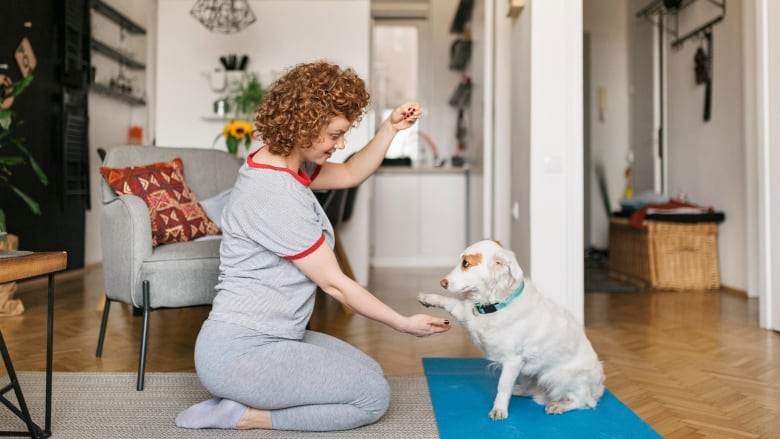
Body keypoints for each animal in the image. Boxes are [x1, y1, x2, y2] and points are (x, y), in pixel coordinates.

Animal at [418, 241, 608, 422]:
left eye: (466, 263)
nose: (442, 282)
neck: (497, 303)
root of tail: (598, 387)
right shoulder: (467, 315)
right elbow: (448, 302)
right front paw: (428, 298)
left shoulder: (513, 360)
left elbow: (502, 386)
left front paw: (499, 409)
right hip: (530, 374)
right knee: (532, 390)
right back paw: (519, 390)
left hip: (557, 376)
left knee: (585, 402)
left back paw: (559, 405)